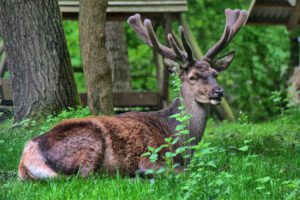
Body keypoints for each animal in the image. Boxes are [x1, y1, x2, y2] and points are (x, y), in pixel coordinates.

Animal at [19, 9, 248, 180]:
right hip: (90, 144)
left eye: (215, 73)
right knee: (86, 177)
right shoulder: (153, 156)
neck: (180, 141)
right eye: (192, 77)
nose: (218, 92)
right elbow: (188, 172)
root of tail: (26, 158)